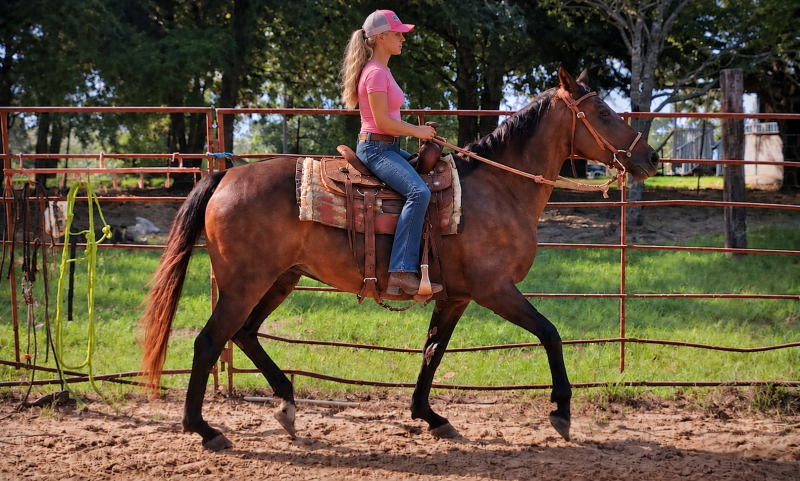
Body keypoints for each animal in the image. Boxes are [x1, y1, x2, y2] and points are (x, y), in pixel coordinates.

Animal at [139, 65, 659, 451]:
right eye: (601, 110)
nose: (652, 157)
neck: (498, 189)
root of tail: (224, 177)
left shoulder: (456, 296)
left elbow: (432, 351)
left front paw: (430, 416)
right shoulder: (495, 290)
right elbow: (550, 333)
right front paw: (562, 411)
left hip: (279, 279)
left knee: (244, 334)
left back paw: (286, 406)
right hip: (244, 283)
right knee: (210, 341)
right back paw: (204, 430)